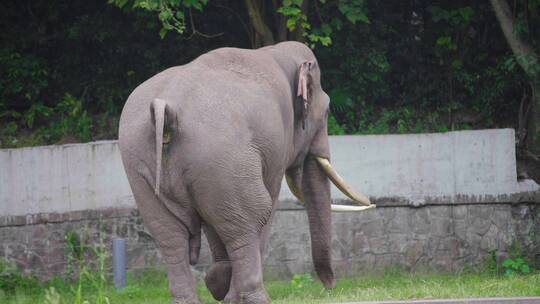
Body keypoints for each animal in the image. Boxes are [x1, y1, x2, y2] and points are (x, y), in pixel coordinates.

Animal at [117, 41, 376, 304]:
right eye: (327, 112)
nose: (330, 286)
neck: (275, 51)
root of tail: (165, 107)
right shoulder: (276, 143)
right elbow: (270, 201)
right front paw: (224, 286)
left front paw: (217, 282)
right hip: (221, 158)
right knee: (251, 216)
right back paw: (254, 297)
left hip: (144, 166)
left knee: (169, 234)